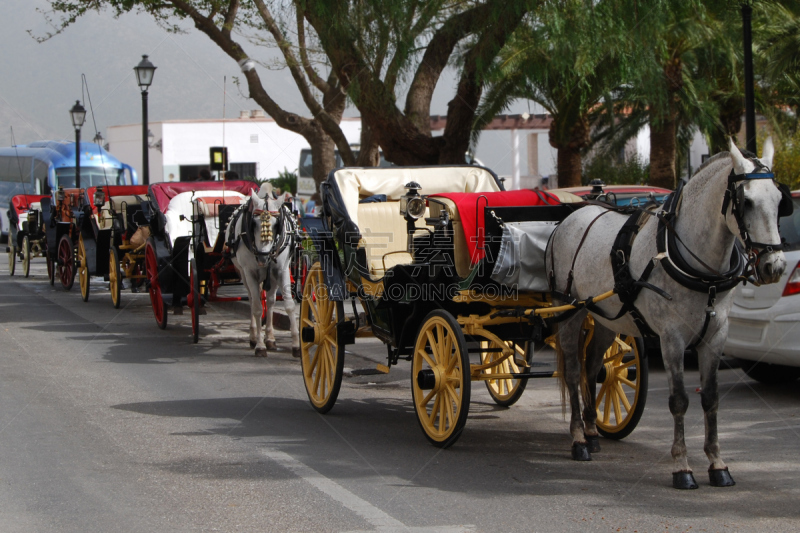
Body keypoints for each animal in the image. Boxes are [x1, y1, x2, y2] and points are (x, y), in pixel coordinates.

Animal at [228, 185, 300, 356]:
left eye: (276, 224)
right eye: (253, 223)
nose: (263, 258)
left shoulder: (282, 270)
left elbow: (289, 305)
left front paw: (296, 345)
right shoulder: (250, 273)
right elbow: (257, 308)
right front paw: (260, 346)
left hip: (272, 276)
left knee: (271, 301)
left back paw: (270, 338)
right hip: (243, 274)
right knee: (252, 299)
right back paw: (254, 337)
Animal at [552, 139, 788, 488]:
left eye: (780, 201)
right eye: (746, 202)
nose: (774, 267)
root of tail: (571, 218)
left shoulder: (716, 335)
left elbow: (711, 397)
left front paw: (717, 463)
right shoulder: (671, 338)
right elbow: (679, 400)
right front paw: (682, 467)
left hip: (606, 317)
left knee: (592, 367)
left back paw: (593, 431)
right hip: (569, 311)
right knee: (572, 371)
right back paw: (579, 438)